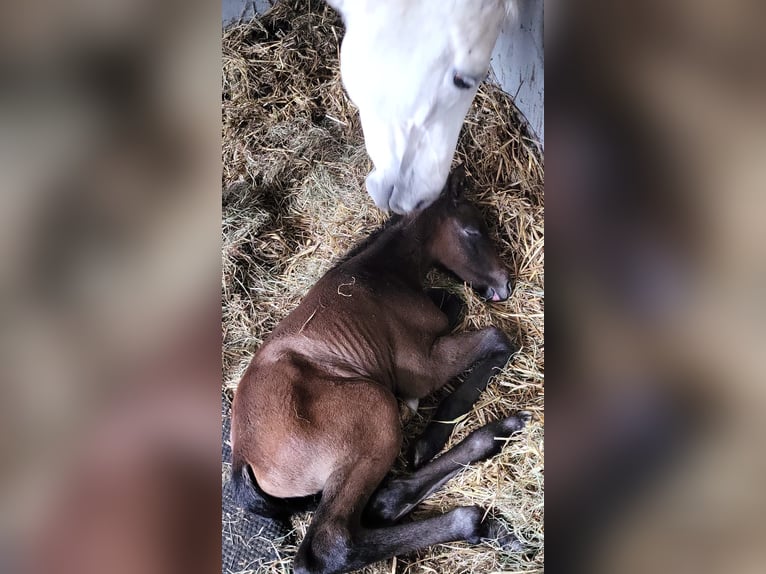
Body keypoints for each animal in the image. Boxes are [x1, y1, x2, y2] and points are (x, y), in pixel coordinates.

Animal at [231, 168, 532, 574]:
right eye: (472, 230)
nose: (505, 283)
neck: (379, 274)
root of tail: (241, 459)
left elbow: (454, 304)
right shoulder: (422, 366)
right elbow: (497, 337)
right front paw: (433, 434)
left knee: (383, 500)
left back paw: (496, 435)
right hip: (373, 411)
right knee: (334, 541)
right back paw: (476, 519)